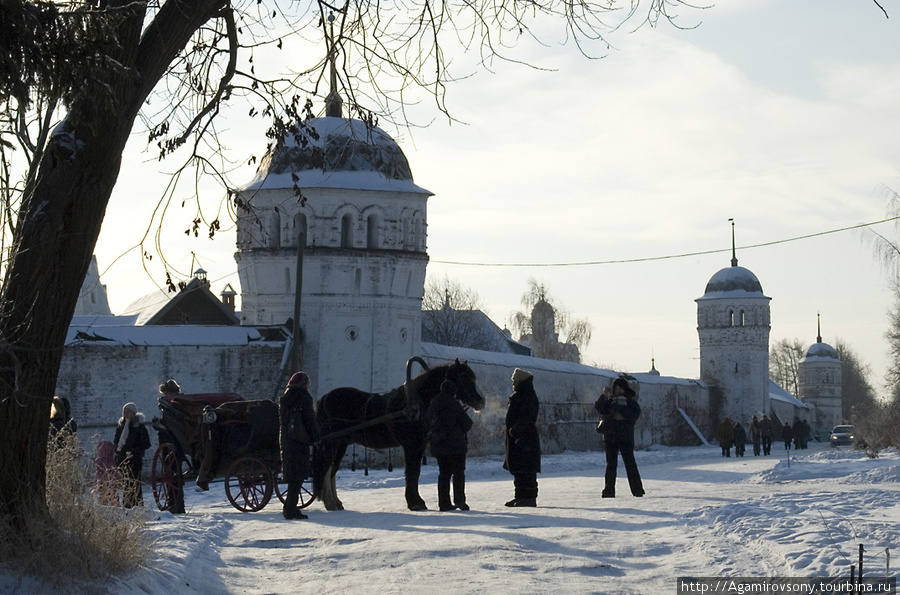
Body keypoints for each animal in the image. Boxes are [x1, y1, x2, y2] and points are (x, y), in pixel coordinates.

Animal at [314, 358, 488, 512]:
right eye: (463, 377)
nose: (481, 401)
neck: (415, 404)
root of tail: (323, 399)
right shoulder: (411, 445)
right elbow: (411, 472)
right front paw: (414, 503)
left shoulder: (419, 446)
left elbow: (415, 473)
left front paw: (417, 501)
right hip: (332, 443)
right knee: (327, 469)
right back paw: (330, 503)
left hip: (340, 444)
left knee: (332, 470)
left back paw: (336, 502)